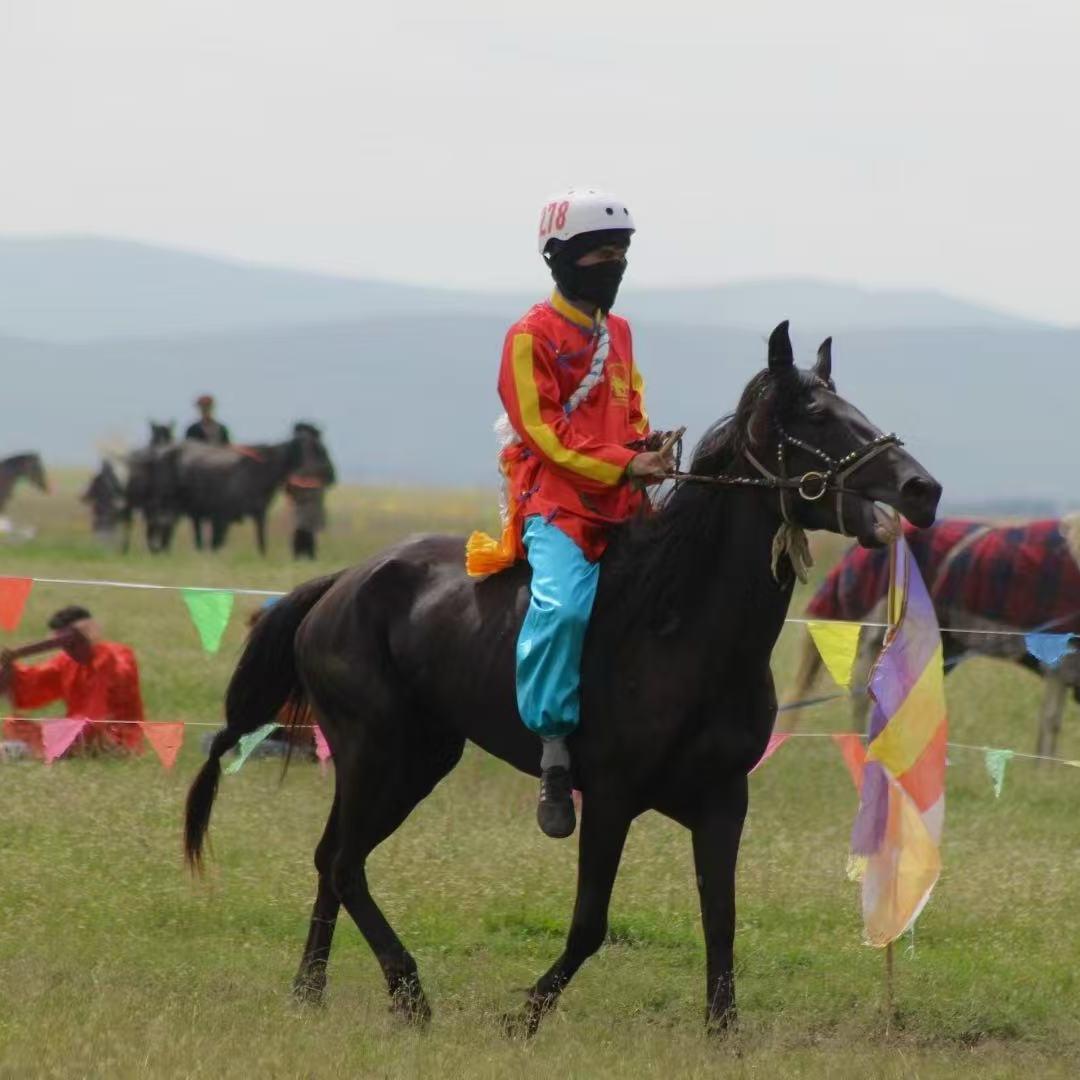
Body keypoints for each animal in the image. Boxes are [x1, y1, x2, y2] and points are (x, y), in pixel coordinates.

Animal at [184, 322, 941, 1034]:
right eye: (815, 415)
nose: (922, 489)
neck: (683, 629)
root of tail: (341, 584)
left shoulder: (724, 801)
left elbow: (720, 921)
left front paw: (724, 1033)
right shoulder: (608, 798)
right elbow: (589, 925)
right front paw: (524, 1016)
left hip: (413, 759)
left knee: (332, 860)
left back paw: (309, 990)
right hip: (378, 754)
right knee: (344, 864)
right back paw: (409, 992)